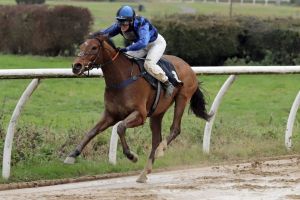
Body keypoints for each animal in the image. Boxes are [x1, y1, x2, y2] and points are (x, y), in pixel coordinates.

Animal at [65, 34, 211, 183]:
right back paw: (144, 173)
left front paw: (131, 155)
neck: (121, 79)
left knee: (175, 129)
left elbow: (120, 128)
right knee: (156, 139)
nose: (76, 66)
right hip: (158, 111)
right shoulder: (110, 115)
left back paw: (160, 150)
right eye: (81, 46)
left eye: (94, 47)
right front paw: (72, 154)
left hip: (182, 97)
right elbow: (92, 131)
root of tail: (189, 67)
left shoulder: (140, 115)